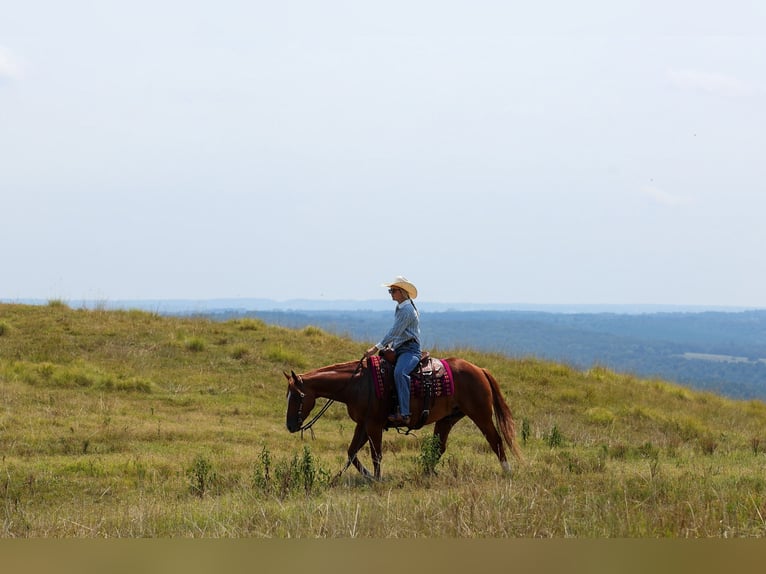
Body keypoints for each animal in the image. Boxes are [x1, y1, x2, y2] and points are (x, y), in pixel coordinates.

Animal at [284, 355, 523, 480]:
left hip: (480, 414)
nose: (290, 425)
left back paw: (507, 471)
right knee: (438, 447)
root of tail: (479, 369)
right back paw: (425, 474)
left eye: (297, 396)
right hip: (448, 419)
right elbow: (352, 453)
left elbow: (376, 454)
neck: (357, 383)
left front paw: (377, 479)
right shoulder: (363, 424)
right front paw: (365, 476)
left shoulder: (374, 425)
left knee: (496, 440)